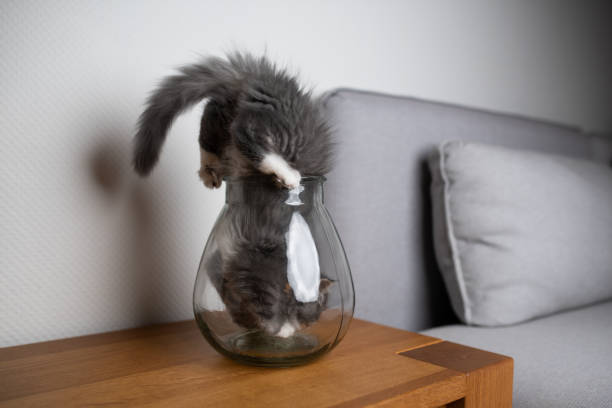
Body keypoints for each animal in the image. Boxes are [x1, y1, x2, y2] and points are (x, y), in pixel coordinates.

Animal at [132, 51, 332, 189]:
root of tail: (252, 77)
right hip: (262, 126)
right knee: (241, 142)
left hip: (225, 115)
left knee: (212, 120)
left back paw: (211, 172)